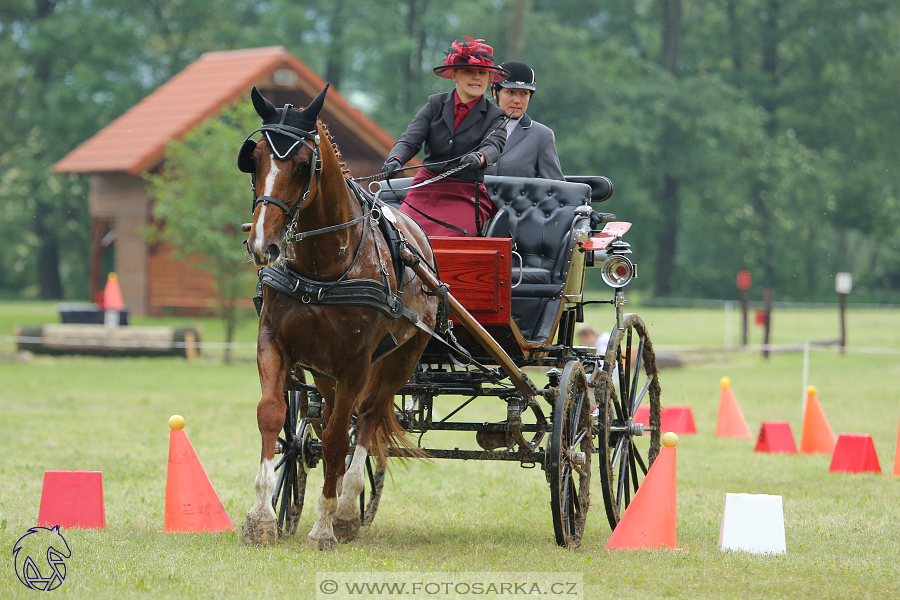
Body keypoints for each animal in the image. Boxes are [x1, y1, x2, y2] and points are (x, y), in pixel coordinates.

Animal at [237, 84, 438, 548]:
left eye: (301, 164)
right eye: (254, 160)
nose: (263, 245)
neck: (323, 267)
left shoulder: (356, 363)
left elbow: (334, 439)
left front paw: (325, 526)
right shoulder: (273, 340)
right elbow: (272, 414)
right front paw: (261, 516)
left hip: (398, 361)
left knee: (364, 422)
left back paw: (346, 508)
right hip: (324, 370)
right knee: (336, 417)